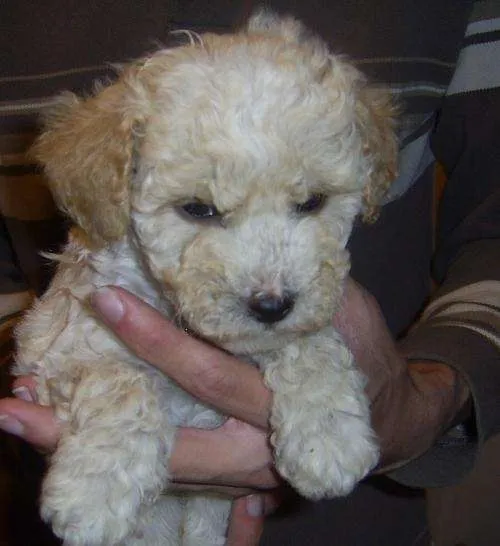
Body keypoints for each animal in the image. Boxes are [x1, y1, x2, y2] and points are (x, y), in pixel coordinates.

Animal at [11, 9, 396, 544]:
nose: (272, 304)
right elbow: (120, 378)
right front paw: (94, 494)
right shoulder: (54, 349)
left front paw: (331, 435)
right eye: (198, 209)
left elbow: (311, 339)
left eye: (312, 202)